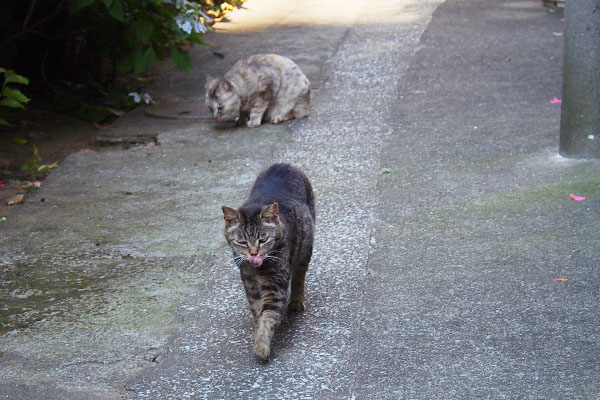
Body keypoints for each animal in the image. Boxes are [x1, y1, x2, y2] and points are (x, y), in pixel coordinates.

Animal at [220, 162, 314, 360]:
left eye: (263, 240)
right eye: (242, 242)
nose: (254, 254)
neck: (257, 270)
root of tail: (283, 164)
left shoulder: (275, 286)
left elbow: (269, 315)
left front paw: (262, 345)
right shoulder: (250, 284)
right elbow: (257, 311)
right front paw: (257, 332)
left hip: (306, 248)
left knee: (299, 276)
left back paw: (296, 300)